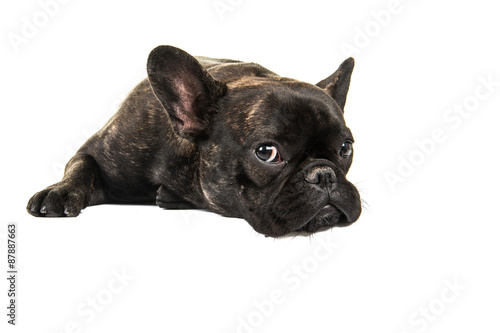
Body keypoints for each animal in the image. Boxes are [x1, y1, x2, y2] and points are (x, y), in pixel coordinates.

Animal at [26, 45, 360, 236]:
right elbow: (82, 164)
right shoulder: (99, 150)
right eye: (267, 153)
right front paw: (59, 191)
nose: (324, 174)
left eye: (346, 148)